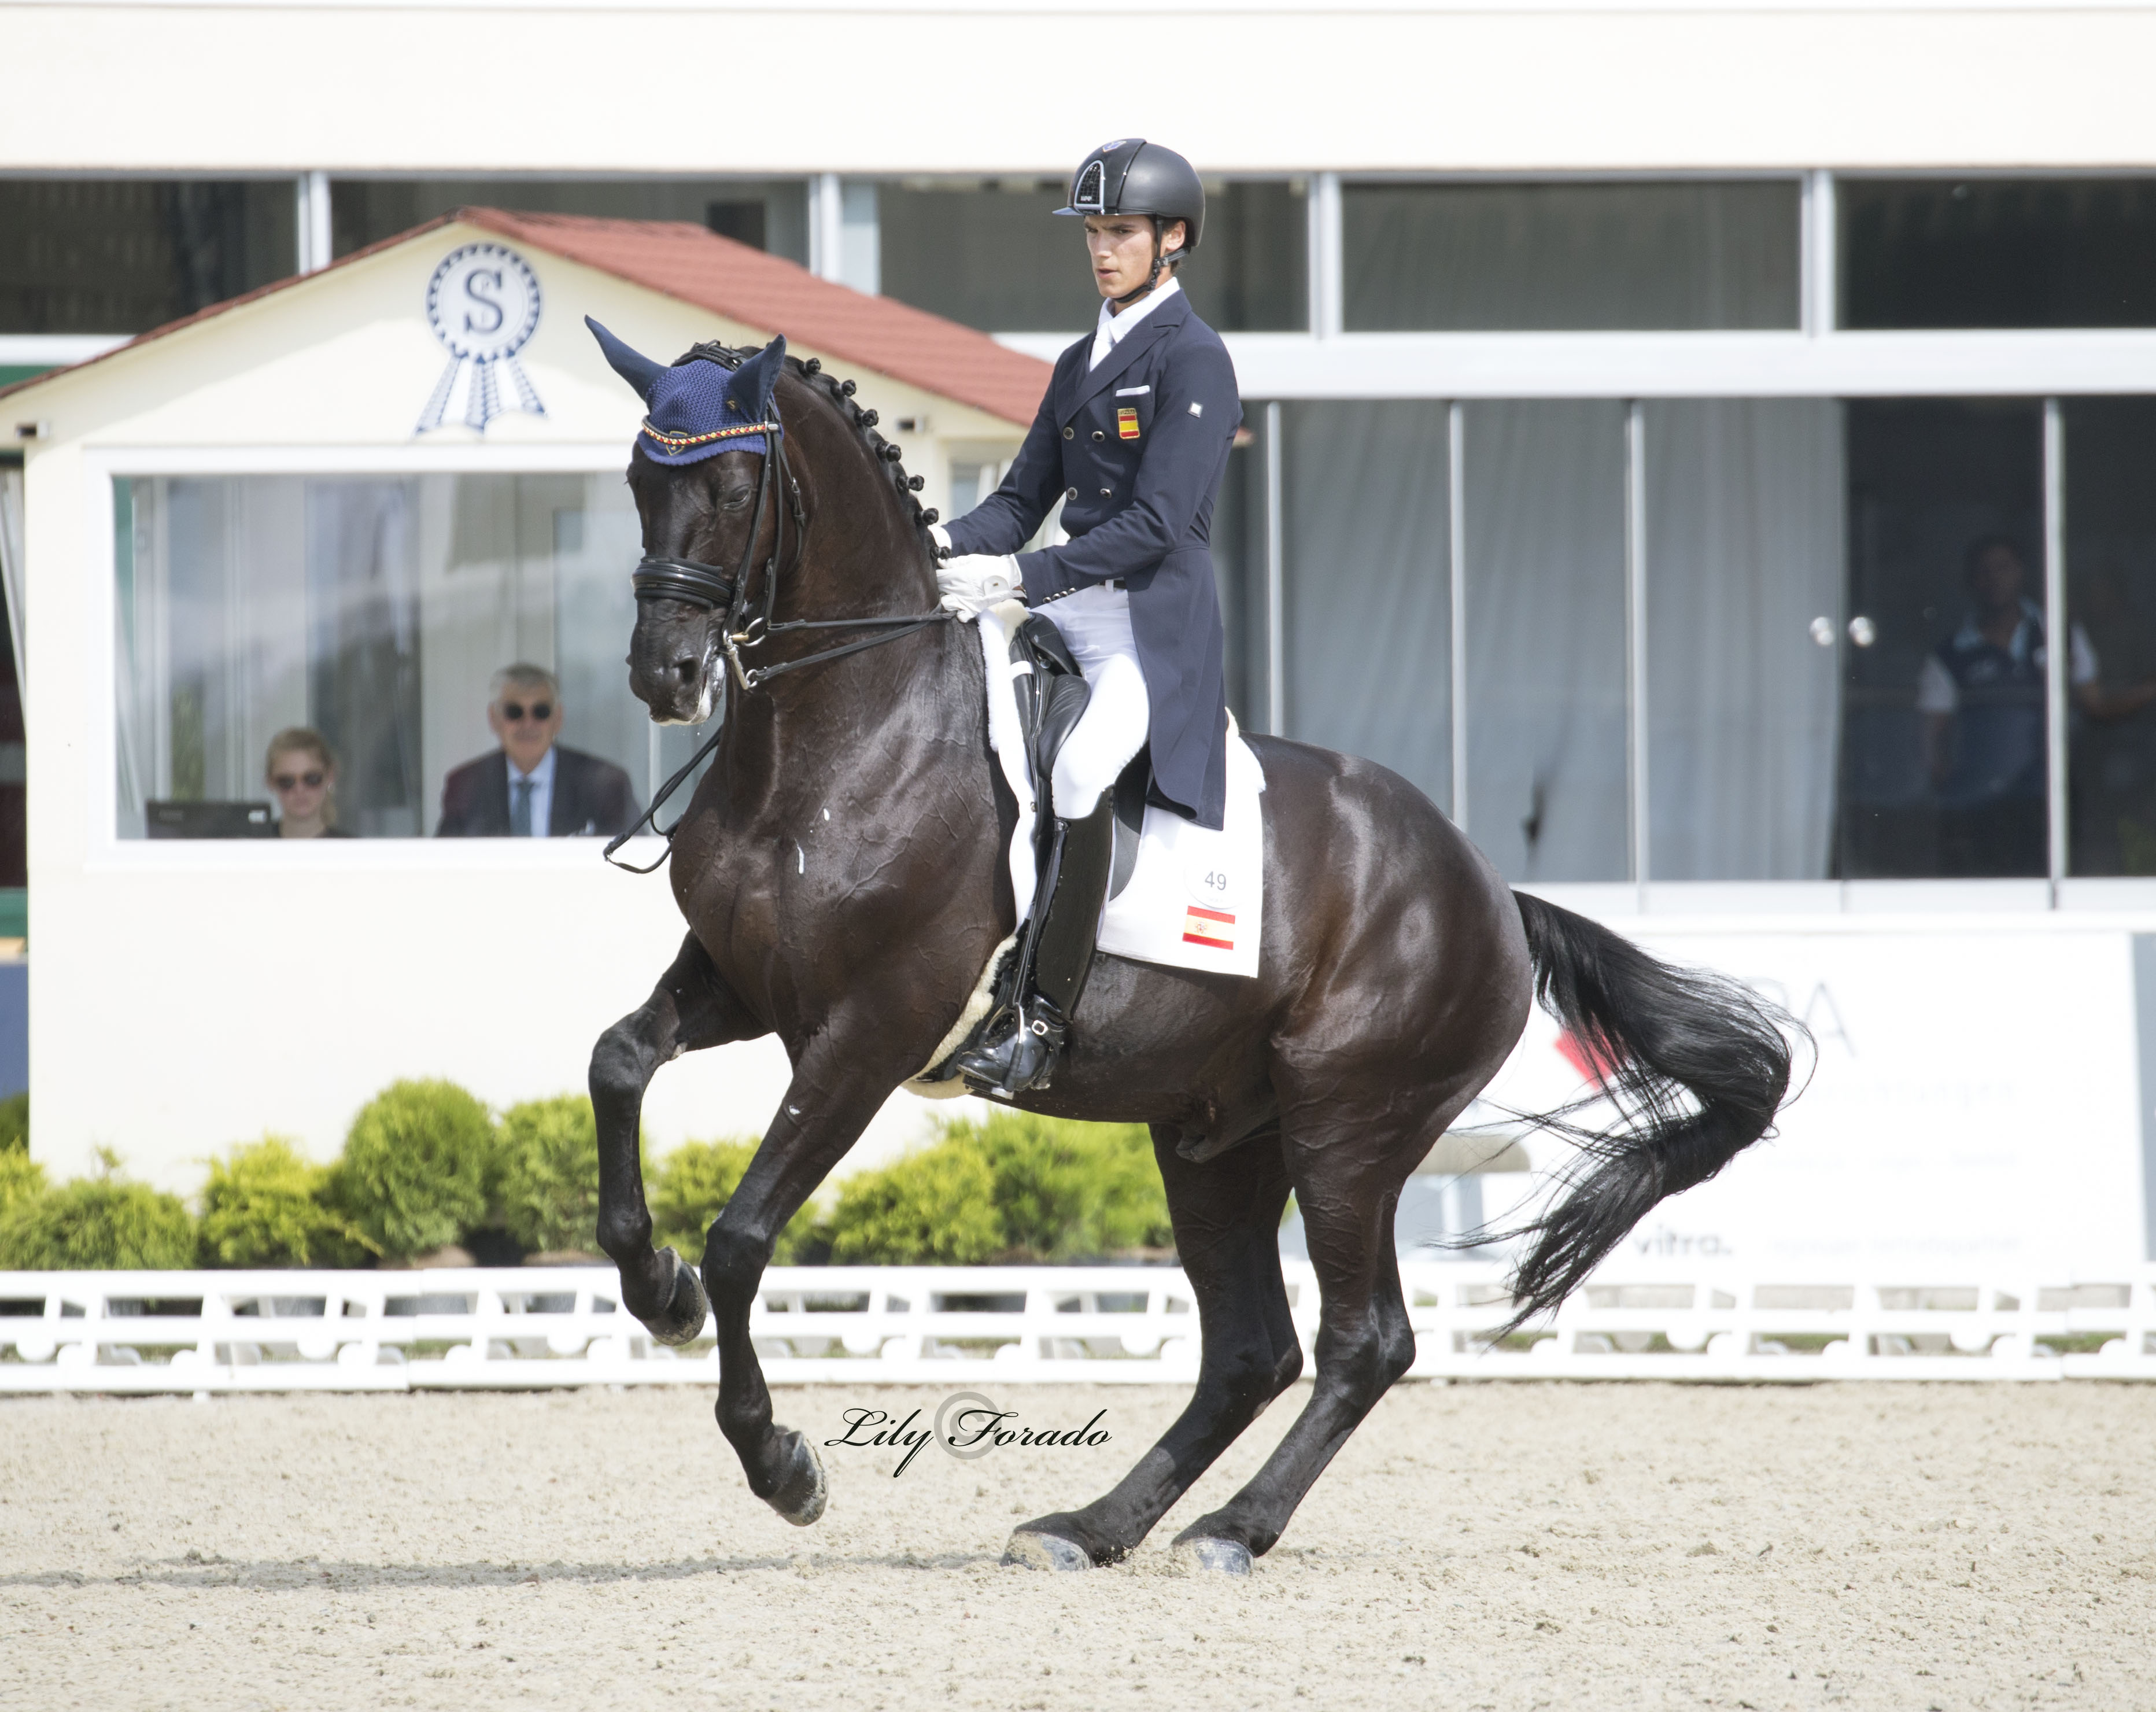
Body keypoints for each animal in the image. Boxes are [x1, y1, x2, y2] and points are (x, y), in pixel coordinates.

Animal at [586, 342, 1785, 1578]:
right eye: (636, 480)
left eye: (736, 488)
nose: (665, 676)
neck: (839, 737)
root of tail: (1491, 892)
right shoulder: (742, 983)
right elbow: (617, 1062)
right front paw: (657, 1290)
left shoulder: (873, 1031)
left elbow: (741, 1239)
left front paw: (780, 1463)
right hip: (1217, 1139)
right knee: (1251, 1350)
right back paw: (1090, 1527)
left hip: (1346, 1128)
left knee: (1363, 1342)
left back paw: (1230, 1531)